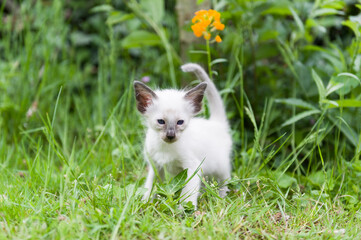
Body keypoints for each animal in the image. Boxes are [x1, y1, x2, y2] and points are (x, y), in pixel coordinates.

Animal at [134, 63, 232, 208]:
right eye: (161, 121)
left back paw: (222, 200)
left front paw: (185, 210)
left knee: (224, 181)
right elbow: (150, 187)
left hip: (220, 167)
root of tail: (216, 123)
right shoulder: (156, 166)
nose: (170, 135)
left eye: (180, 122)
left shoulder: (192, 167)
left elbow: (188, 194)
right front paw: (145, 205)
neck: (166, 147)